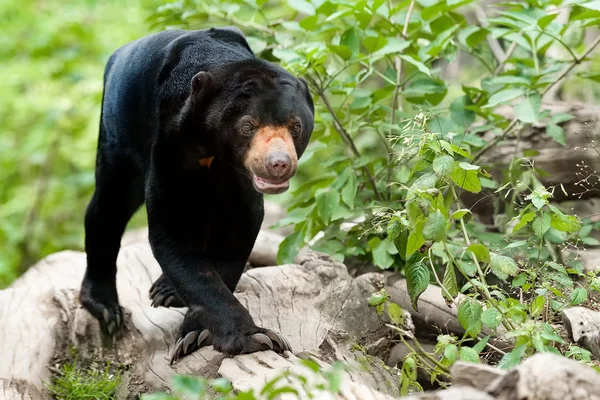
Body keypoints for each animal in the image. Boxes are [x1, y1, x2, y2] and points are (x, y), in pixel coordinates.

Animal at [79, 26, 314, 364]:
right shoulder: (169, 142)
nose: (279, 163)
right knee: (109, 206)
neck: (212, 150)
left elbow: (237, 232)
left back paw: (166, 290)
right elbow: (171, 233)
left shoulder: (239, 176)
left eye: (295, 126)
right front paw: (253, 337)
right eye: (247, 126)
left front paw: (196, 332)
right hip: (115, 130)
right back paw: (106, 307)